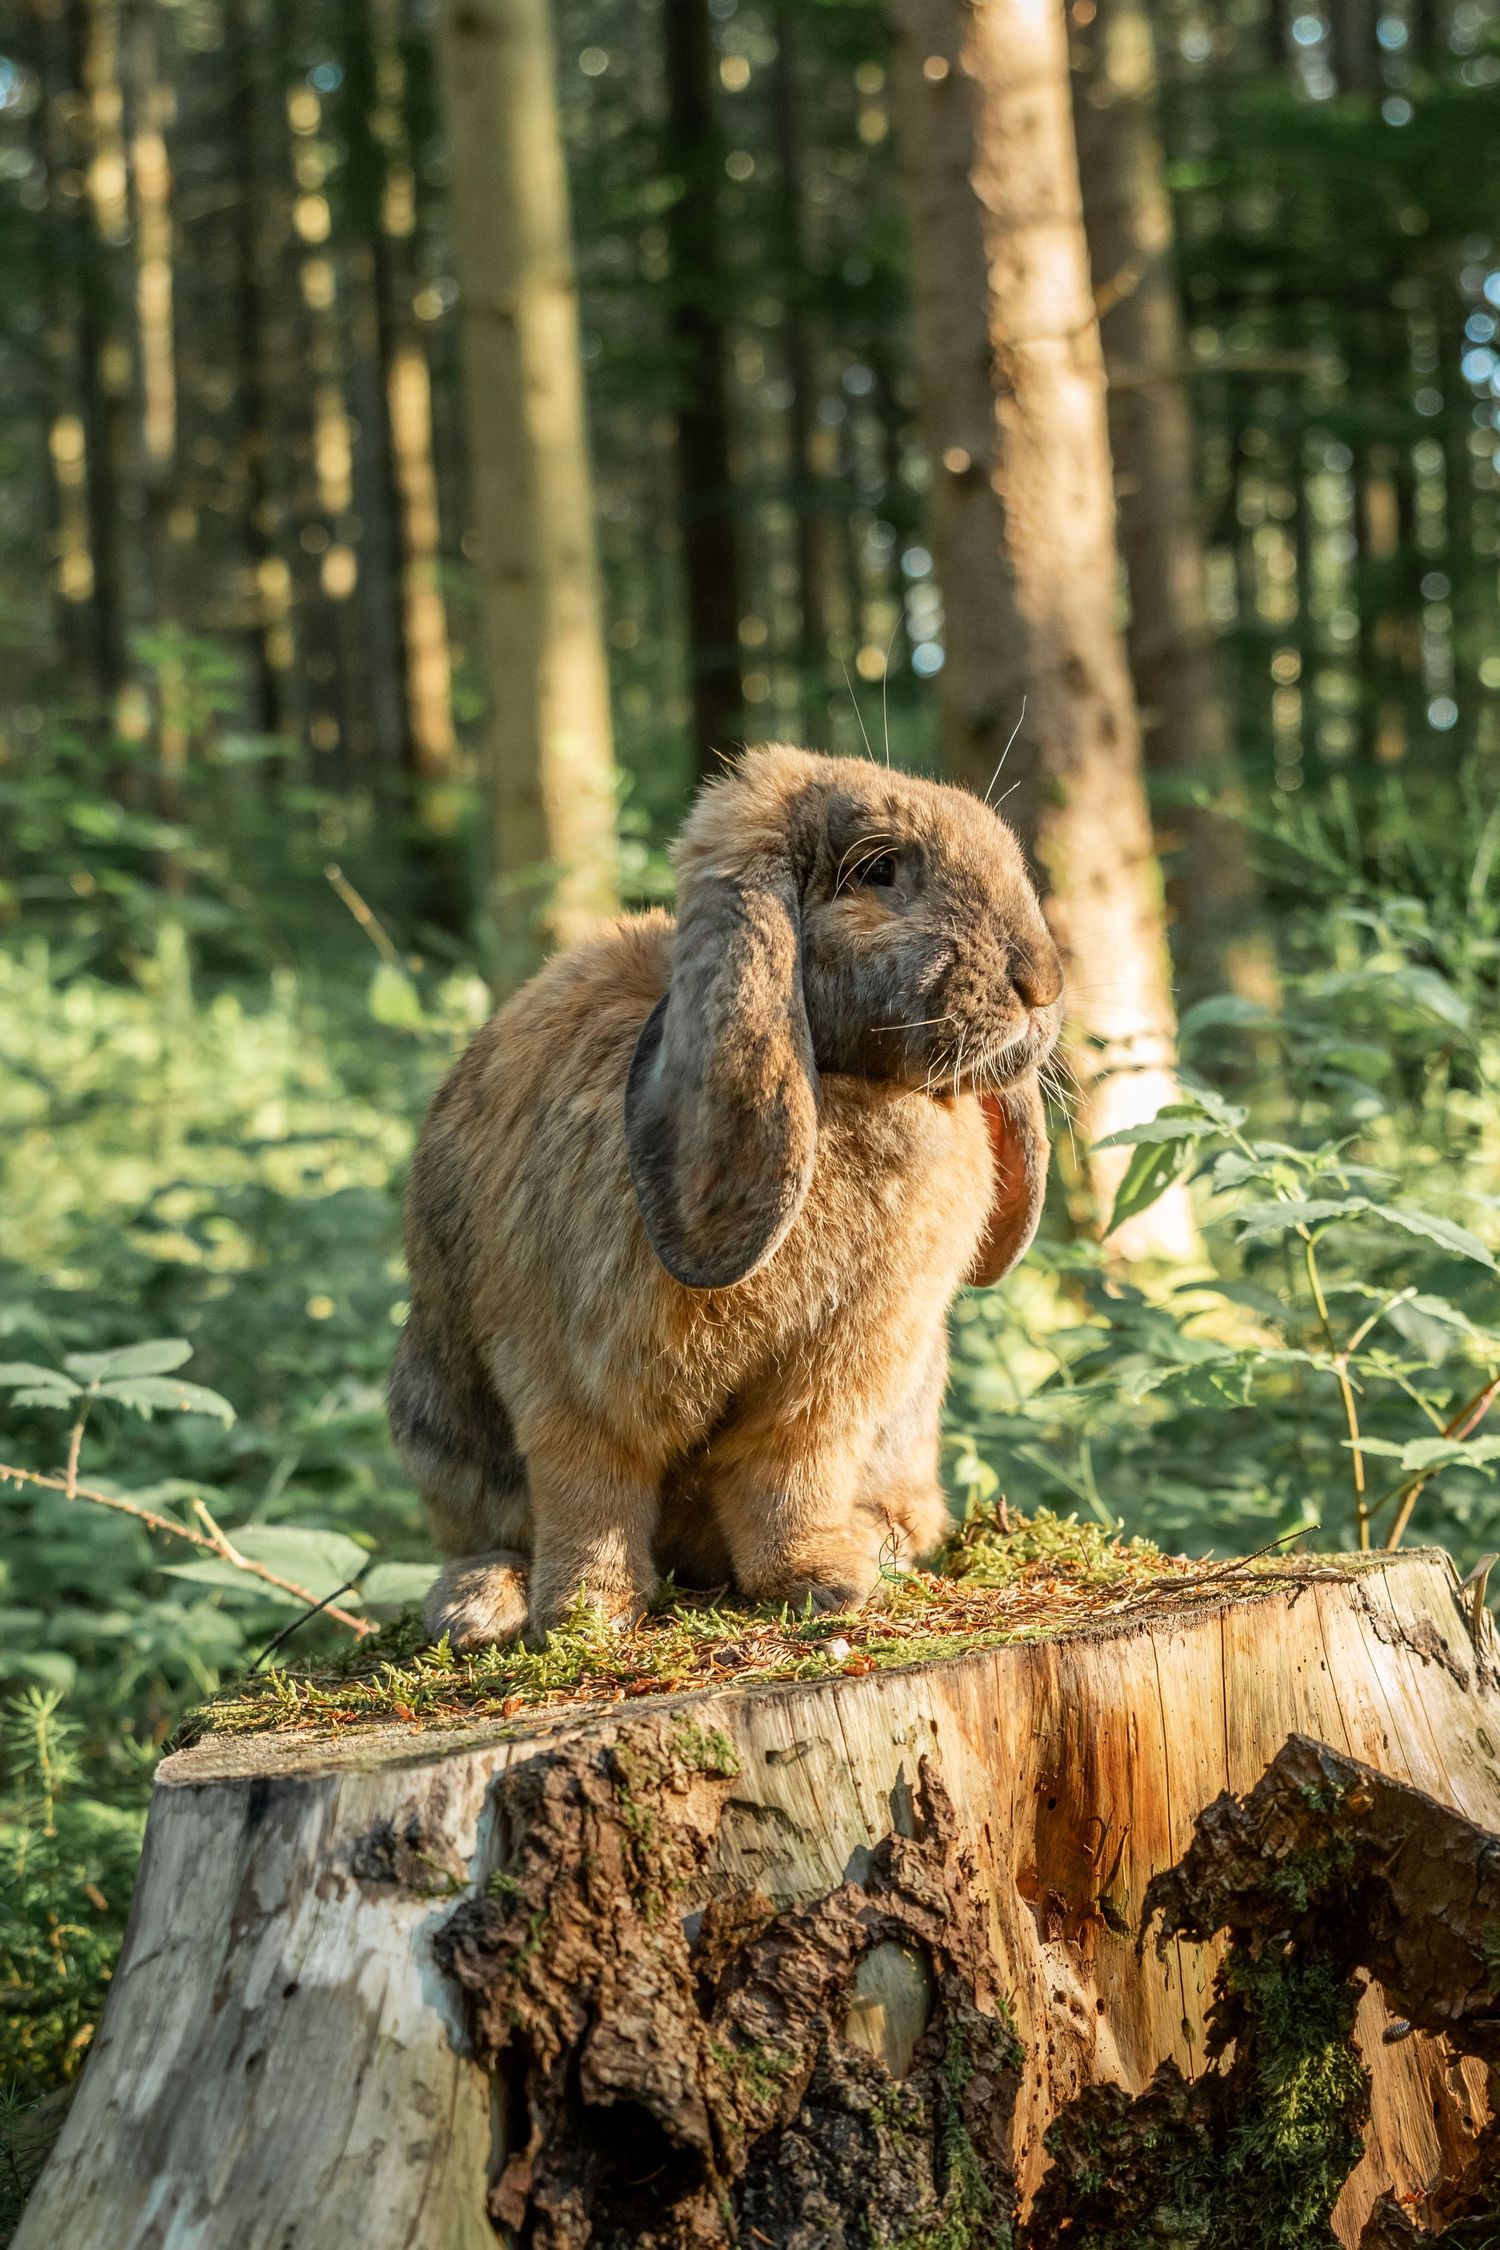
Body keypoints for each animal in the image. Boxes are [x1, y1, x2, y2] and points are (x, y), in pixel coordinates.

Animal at [388, 743, 1062, 1650]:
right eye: (880, 870)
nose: (1044, 984)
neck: (843, 1084)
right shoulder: (570, 1376)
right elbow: (589, 1493)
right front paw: (587, 1617)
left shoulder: (834, 1375)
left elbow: (786, 1473)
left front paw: (822, 1583)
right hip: (437, 1420)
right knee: (496, 1526)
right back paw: (480, 1604)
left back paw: (875, 1542)